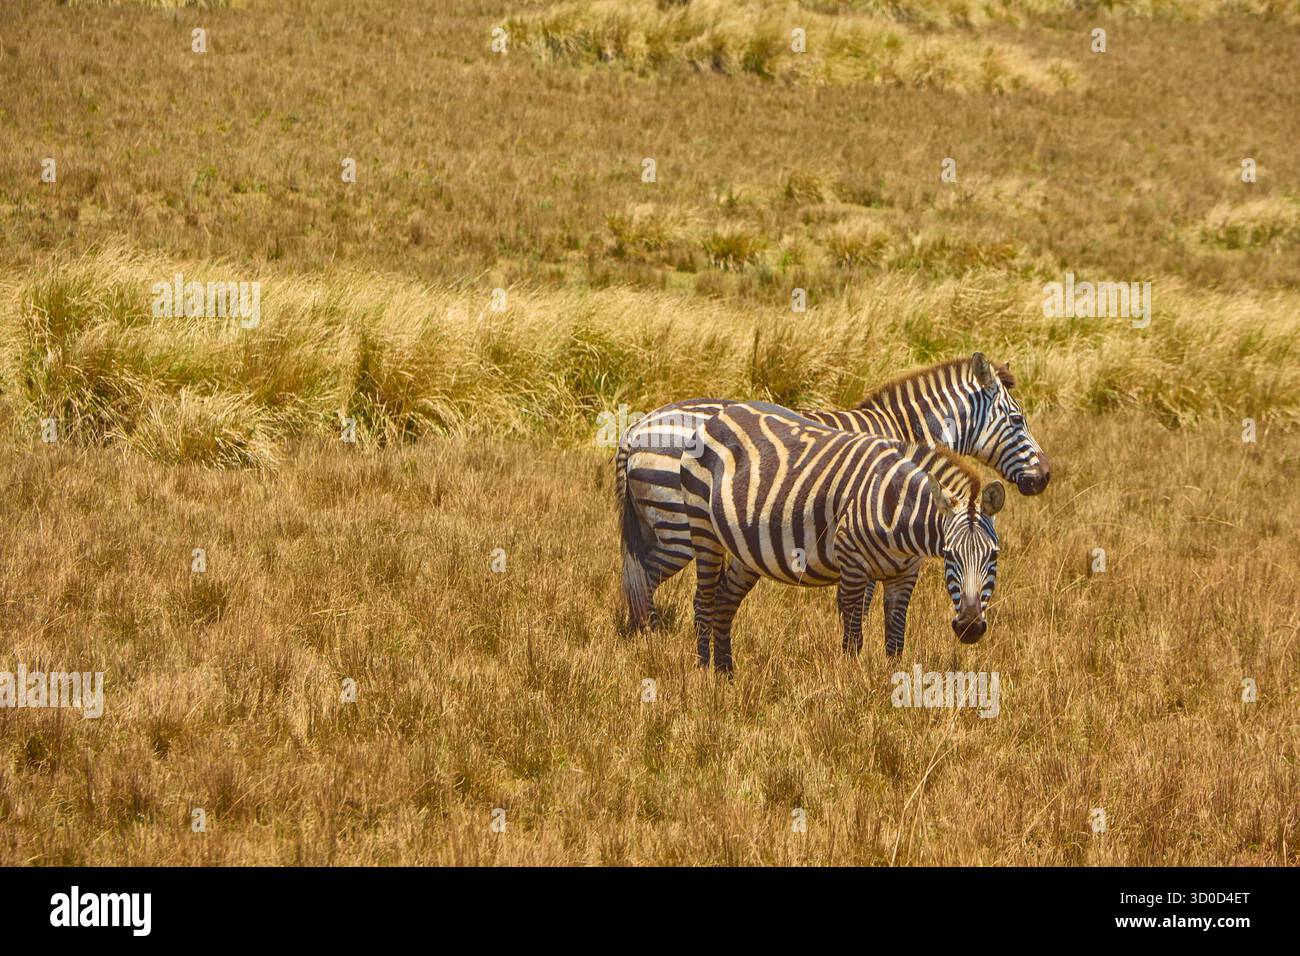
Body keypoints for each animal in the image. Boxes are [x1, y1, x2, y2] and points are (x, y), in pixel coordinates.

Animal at [617, 352, 1046, 631]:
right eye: (1017, 419)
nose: (1045, 476)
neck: (904, 434)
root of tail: (637, 428)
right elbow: (866, 601)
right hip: (678, 530)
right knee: (644, 582)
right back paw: (652, 643)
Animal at [679, 401, 1006, 672]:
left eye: (993, 555)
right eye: (949, 554)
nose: (970, 628)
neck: (898, 513)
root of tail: (721, 415)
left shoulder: (904, 575)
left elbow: (895, 640)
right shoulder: (853, 566)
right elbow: (853, 638)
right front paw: (851, 691)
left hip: (747, 550)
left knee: (725, 599)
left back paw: (726, 674)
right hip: (704, 529)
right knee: (704, 600)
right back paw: (704, 672)